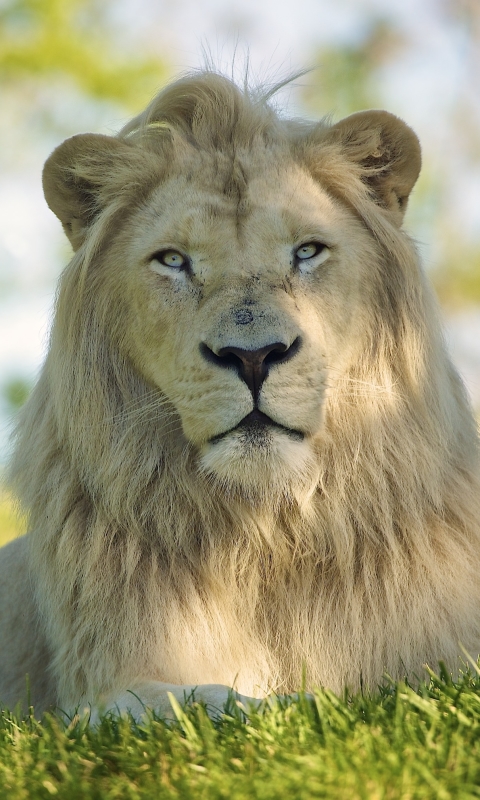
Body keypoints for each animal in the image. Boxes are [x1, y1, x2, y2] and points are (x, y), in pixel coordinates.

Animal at [0, 70, 480, 720]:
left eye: (307, 251)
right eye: (173, 261)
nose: (252, 357)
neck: (265, 534)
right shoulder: (105, 686)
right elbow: (183, 700)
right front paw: (285, 703)